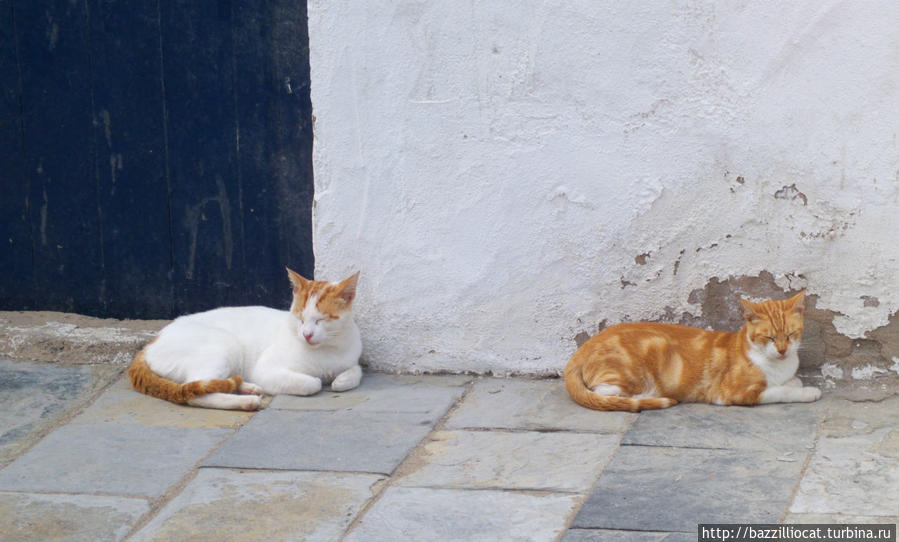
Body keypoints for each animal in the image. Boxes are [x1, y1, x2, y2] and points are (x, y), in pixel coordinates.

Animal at [125, 268, 362, 412]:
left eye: (321, 320)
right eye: (299, 318)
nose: (307, 334)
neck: (329, 349)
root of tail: (151, 342)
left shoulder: (351, 358)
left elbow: (355, 371)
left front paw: (341, 380)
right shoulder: (266, 369)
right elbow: (312, 383)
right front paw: (320, 380)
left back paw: (246, 387)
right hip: (223, 343)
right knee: (194, 392)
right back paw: (246, 400)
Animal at [568, 294, 824, 412]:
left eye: (791, 334)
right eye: (769, 337)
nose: (782, 350)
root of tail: (584, 348)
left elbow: (790, 382)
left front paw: (794, 382)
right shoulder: (735, 393)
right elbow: (780, 391)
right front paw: (807, 392)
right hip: (632, 371)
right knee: (604, 393)